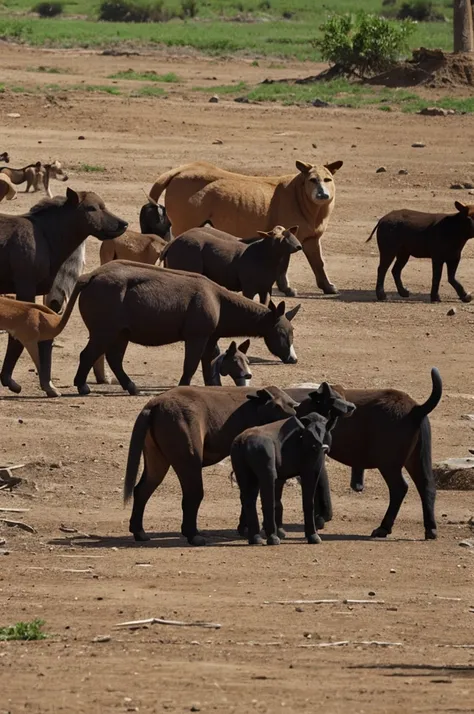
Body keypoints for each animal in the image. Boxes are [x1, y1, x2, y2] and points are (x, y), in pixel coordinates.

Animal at [150, 159, 342, 294]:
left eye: (328, 179)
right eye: (312, 180)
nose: (322, 194)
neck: (300, 194)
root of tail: (180, 170)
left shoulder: (311, 239)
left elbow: (319, 263)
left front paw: (328, 287)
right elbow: (284, 266)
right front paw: (287, 289)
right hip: (185, 224)